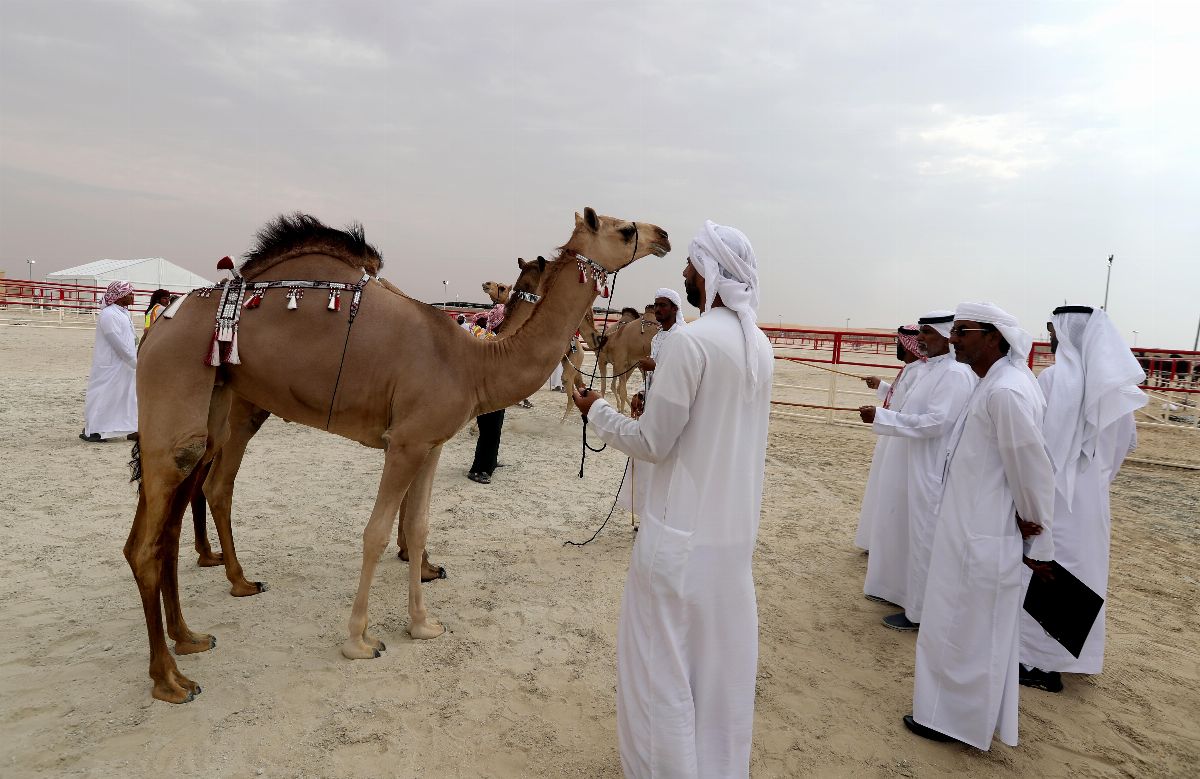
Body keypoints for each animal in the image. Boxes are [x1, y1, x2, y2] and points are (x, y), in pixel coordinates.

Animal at [125, 210, 672, 700]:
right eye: (626, 230)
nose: (663, 235)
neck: (474, 361)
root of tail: (155, 331)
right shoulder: (405, 443)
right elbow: (375, 532)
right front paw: (359, 640)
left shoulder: (429, 444)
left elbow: (418, 525)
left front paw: (423, 622)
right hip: (186, 402)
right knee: (154, 537)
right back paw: (171, 678)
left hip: (214, 401)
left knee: (169, 525)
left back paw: (192, 636)